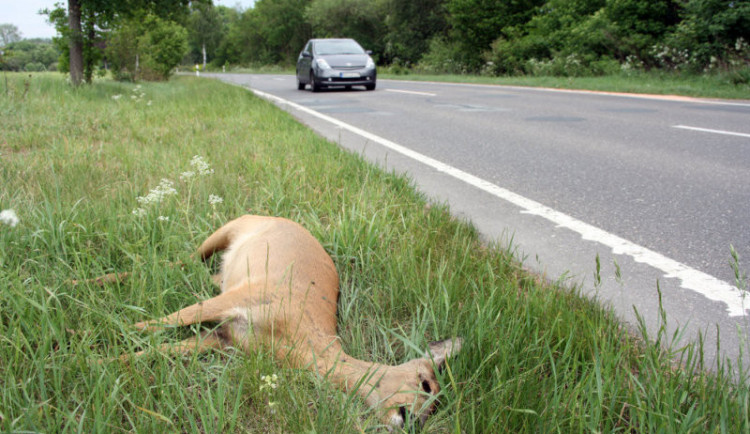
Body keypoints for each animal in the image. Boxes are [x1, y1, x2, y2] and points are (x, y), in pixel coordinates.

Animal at [119, 215, 458, 428]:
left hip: (221, 271)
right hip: (228, 230)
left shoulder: (224, 339)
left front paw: (108, 363)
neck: (298, 339)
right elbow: (158, 323)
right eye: (426, 385)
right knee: (178, 260)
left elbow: (156, 349)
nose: (414, 423)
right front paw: (110, 332)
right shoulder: (250, 294)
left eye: (435, 407)